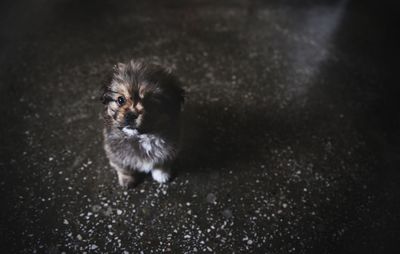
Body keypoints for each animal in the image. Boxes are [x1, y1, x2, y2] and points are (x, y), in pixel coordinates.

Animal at [101, 60, 186, 188]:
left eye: (150, 103)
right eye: (121, 100)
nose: (131, 115)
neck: (141, 138)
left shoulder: (169, 148)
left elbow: (161, 162)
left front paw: (161, 175)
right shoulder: (115, 152)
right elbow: (124, 167)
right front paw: (127, 180)